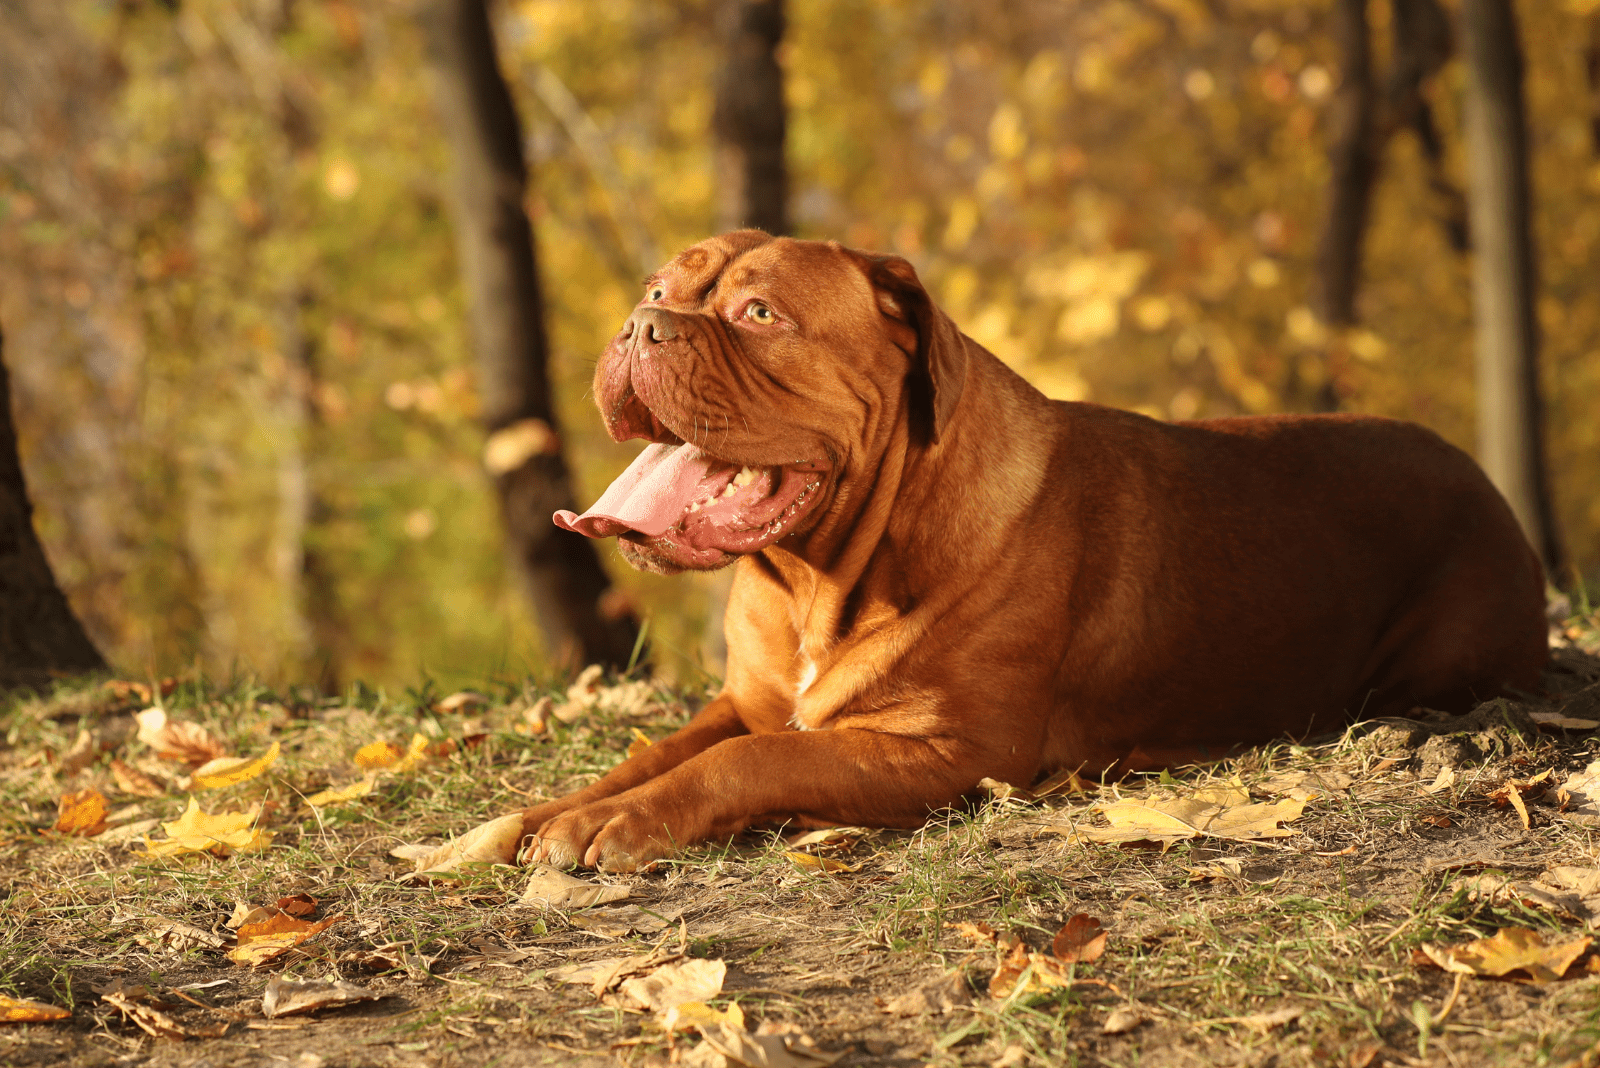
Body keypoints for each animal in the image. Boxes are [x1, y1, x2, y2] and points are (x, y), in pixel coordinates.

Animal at [515, 230, 1548, 869]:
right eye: (659, 291)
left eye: (760, 315)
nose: (639, 325)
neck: (819, 577)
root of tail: (1477, 474)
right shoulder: (746, 700)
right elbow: (658, 750)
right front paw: (540, 815)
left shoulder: (947, 752)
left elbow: (749, 763)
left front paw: (621, 822)